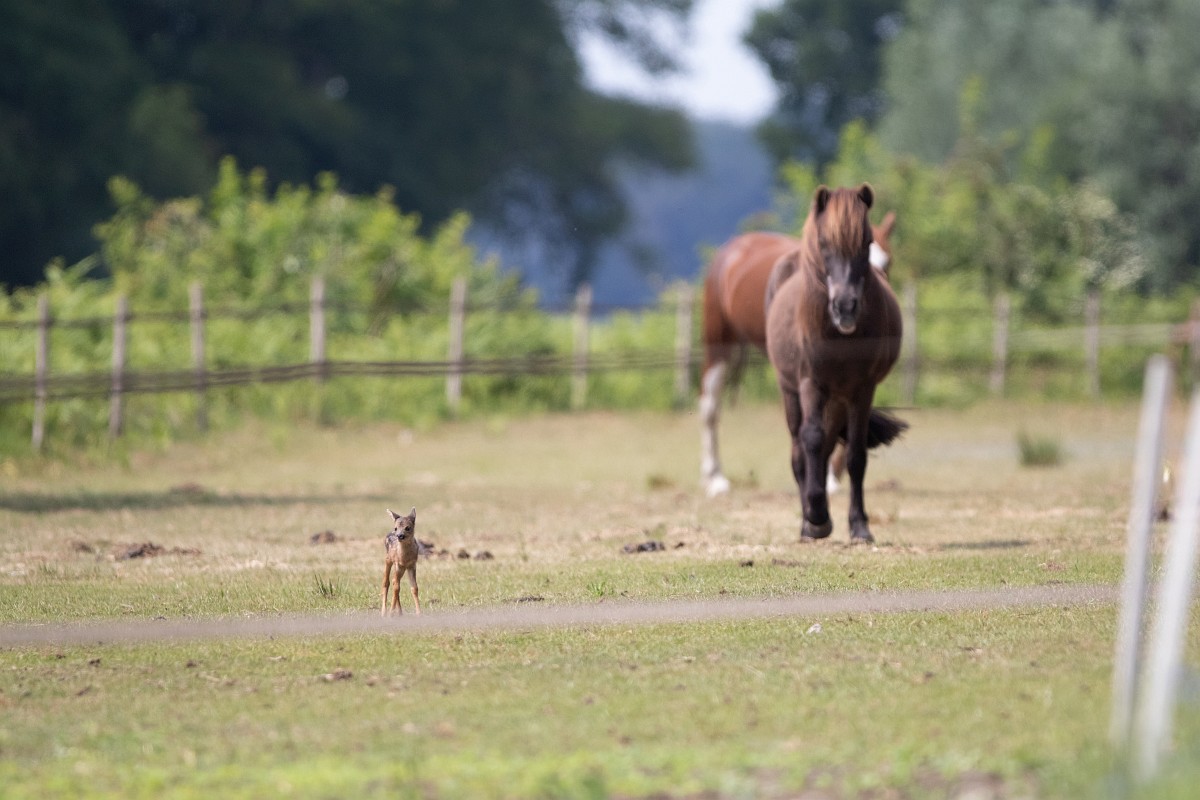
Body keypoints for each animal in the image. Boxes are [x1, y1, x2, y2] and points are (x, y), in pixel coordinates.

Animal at [698, 210, 895, 498]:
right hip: (719, 344)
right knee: (710, 407)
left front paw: (831, 477)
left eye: (887, 262)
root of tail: (731, 251)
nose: (856, 309)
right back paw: (715, 479)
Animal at [765, 183, 904, 543]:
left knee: (829, 446)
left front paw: (859, 526)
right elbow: (810, 440)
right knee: (800, 449)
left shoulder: (861, 390)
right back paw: (808, 523)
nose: (845, 307)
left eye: (866, 242)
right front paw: (816, 518)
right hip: (791, 391)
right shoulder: (810, 383)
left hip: (839, 399)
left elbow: (854, 455)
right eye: (824, 243)